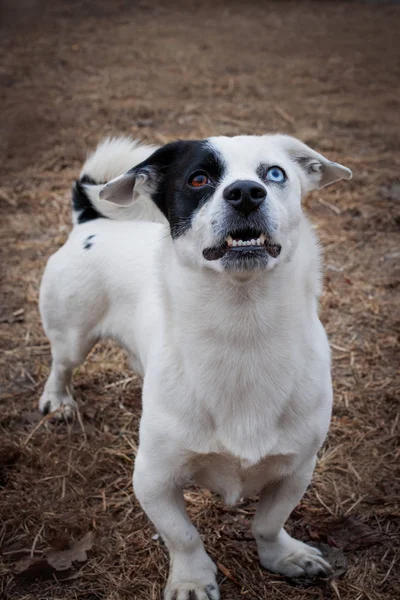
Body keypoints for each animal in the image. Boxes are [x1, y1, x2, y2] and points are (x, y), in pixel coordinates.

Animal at [39, 135, 350, 600]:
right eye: (198, 179)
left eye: (275, 173)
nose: (246, 192)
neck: (242, 333)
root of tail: (90, 220)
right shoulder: (152, 479)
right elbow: (183, 536)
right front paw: (191, 579)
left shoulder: (297, 469)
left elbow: (268, 522)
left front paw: (283, 556)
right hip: (72, 336)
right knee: (61, 366)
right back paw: (57, 401)